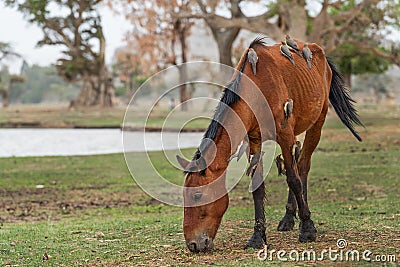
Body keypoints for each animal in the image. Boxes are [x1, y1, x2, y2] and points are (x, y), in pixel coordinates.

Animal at [177, 37, 364, 253]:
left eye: (197, 196)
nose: (193, 244)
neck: (257, 88)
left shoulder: (284, 136)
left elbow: (294, 179)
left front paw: (308, 229)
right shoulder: (254, 141)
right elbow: (258, 186)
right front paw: (258, 236)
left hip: (317, 122)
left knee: (302, 167)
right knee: (298, 162)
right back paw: (289, 218)